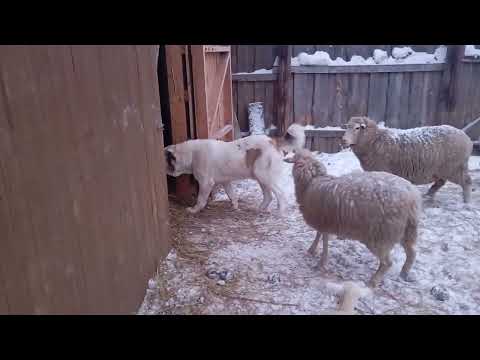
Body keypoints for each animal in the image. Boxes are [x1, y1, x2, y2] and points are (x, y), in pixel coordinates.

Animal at [165, 124, 306, 214]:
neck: (191, 154)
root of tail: (274, 141)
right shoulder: (226, 182)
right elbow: (231, 195)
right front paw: (235, 207)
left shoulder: (206, 183)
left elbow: (201, 200)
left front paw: (194, 210)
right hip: (260, 178)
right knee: (268, 196)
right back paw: (259, 209)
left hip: (264, 176)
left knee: (280, 194)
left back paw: (280, 212)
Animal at [286, 148, 422, 286]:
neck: (312, 182)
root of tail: (412, 197)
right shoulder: (323, 221)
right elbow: (319, 235)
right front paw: (312, 250)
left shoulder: (324, 220)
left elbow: (324, 242)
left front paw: (321, 262)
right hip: (407, 230)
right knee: (412, 253)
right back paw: (404, 273)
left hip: (380, 236)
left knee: (387, 263)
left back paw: (373, 281)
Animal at [342, 117, 472, 202]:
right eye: (347, 127)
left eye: (357, 128)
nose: (343, 140)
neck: (374, 140)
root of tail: (466, 138)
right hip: (442, 169)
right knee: (440, 182)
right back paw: (428, 195)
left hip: (454, 167)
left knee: (466, 181)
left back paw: (466, 201)